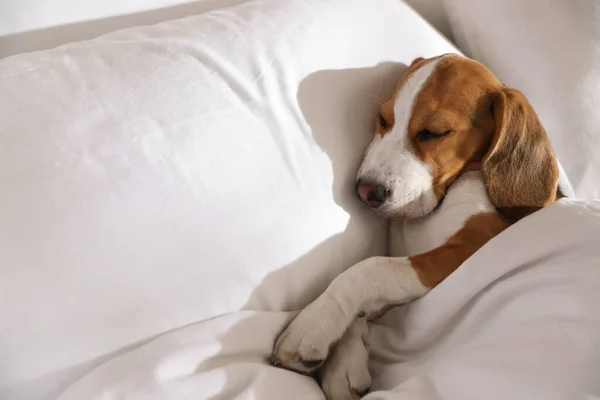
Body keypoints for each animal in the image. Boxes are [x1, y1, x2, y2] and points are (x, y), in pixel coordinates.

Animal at [270, 54, 560, 400]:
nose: (366, 191)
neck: (446, 197)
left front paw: (314, 325)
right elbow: (366, 301)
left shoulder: (466, 250)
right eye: (383, 120)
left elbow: (368, 269)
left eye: (435, 132)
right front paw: (344, 362)